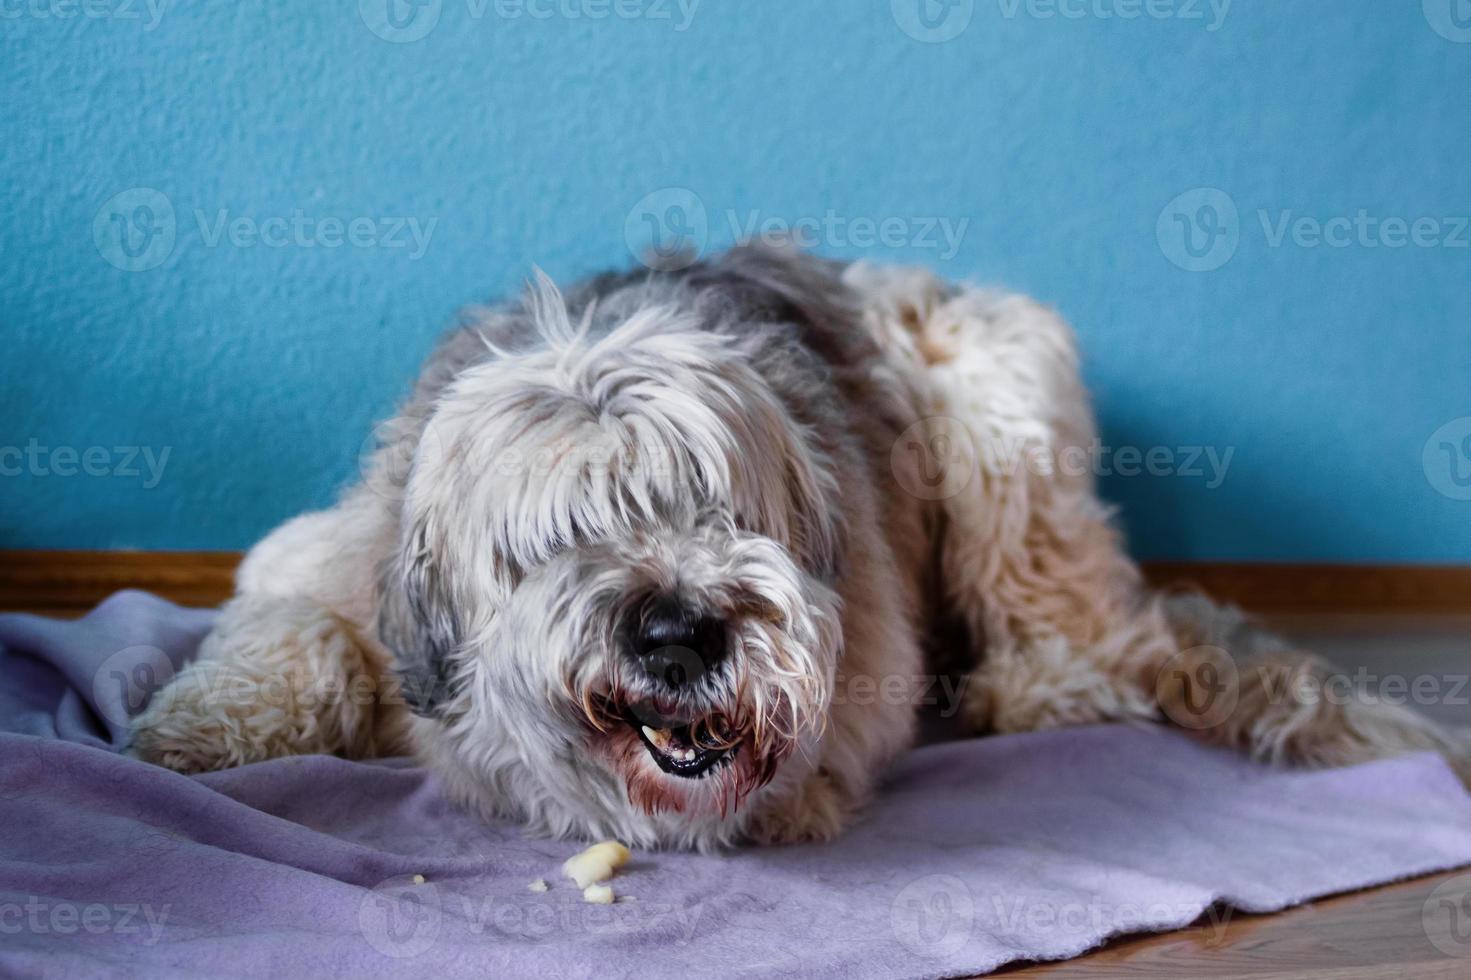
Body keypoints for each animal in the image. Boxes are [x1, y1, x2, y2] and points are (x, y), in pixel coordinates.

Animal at [129, 244, 1471, 847]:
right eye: (563, 533)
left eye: (718, 505)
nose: (679, 631)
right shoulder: (326, 560)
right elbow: (296, 628)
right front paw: (185, 733)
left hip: (997, 401)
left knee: (1094, 627)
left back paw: (1031, 685)